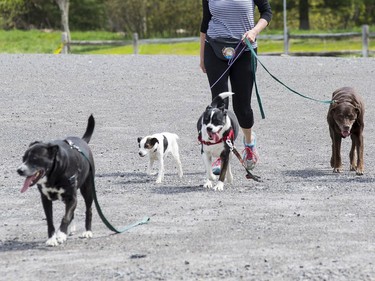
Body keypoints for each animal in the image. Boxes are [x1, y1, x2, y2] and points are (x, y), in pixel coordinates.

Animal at [17, 114, 95, 245]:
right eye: (23, 158)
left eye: (34, 158)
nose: (19, 170)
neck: (54, 175)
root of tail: (83, 141)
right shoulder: (45, 199)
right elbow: (50, 221)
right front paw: (52, 238)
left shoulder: (72, 198)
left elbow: (66, 217)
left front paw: (61, 234)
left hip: (88, 189)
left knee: (88, 210)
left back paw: (88, 231)